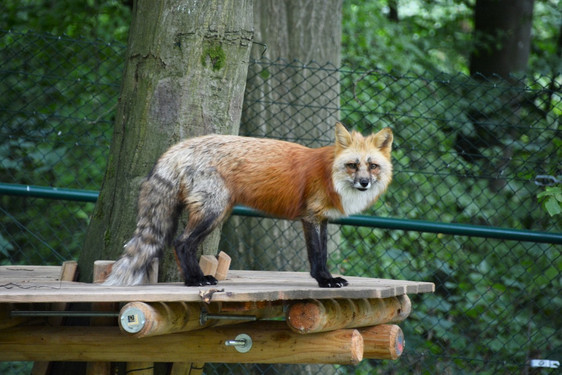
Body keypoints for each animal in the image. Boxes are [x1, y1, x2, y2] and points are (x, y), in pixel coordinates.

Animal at [104, 122, 390, 288]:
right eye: (352, 165)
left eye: (373, 166)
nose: (364, 182)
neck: (329, 175)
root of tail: (176, 148)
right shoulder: (310, 217)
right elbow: (317, 254)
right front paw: (324, 281)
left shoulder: (322, 219)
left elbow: (324, 253)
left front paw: (326, 278)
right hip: (213, 211)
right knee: (181, 243)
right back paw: (196, 280)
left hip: (218, 213)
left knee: (185, 244)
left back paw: (193, 278)